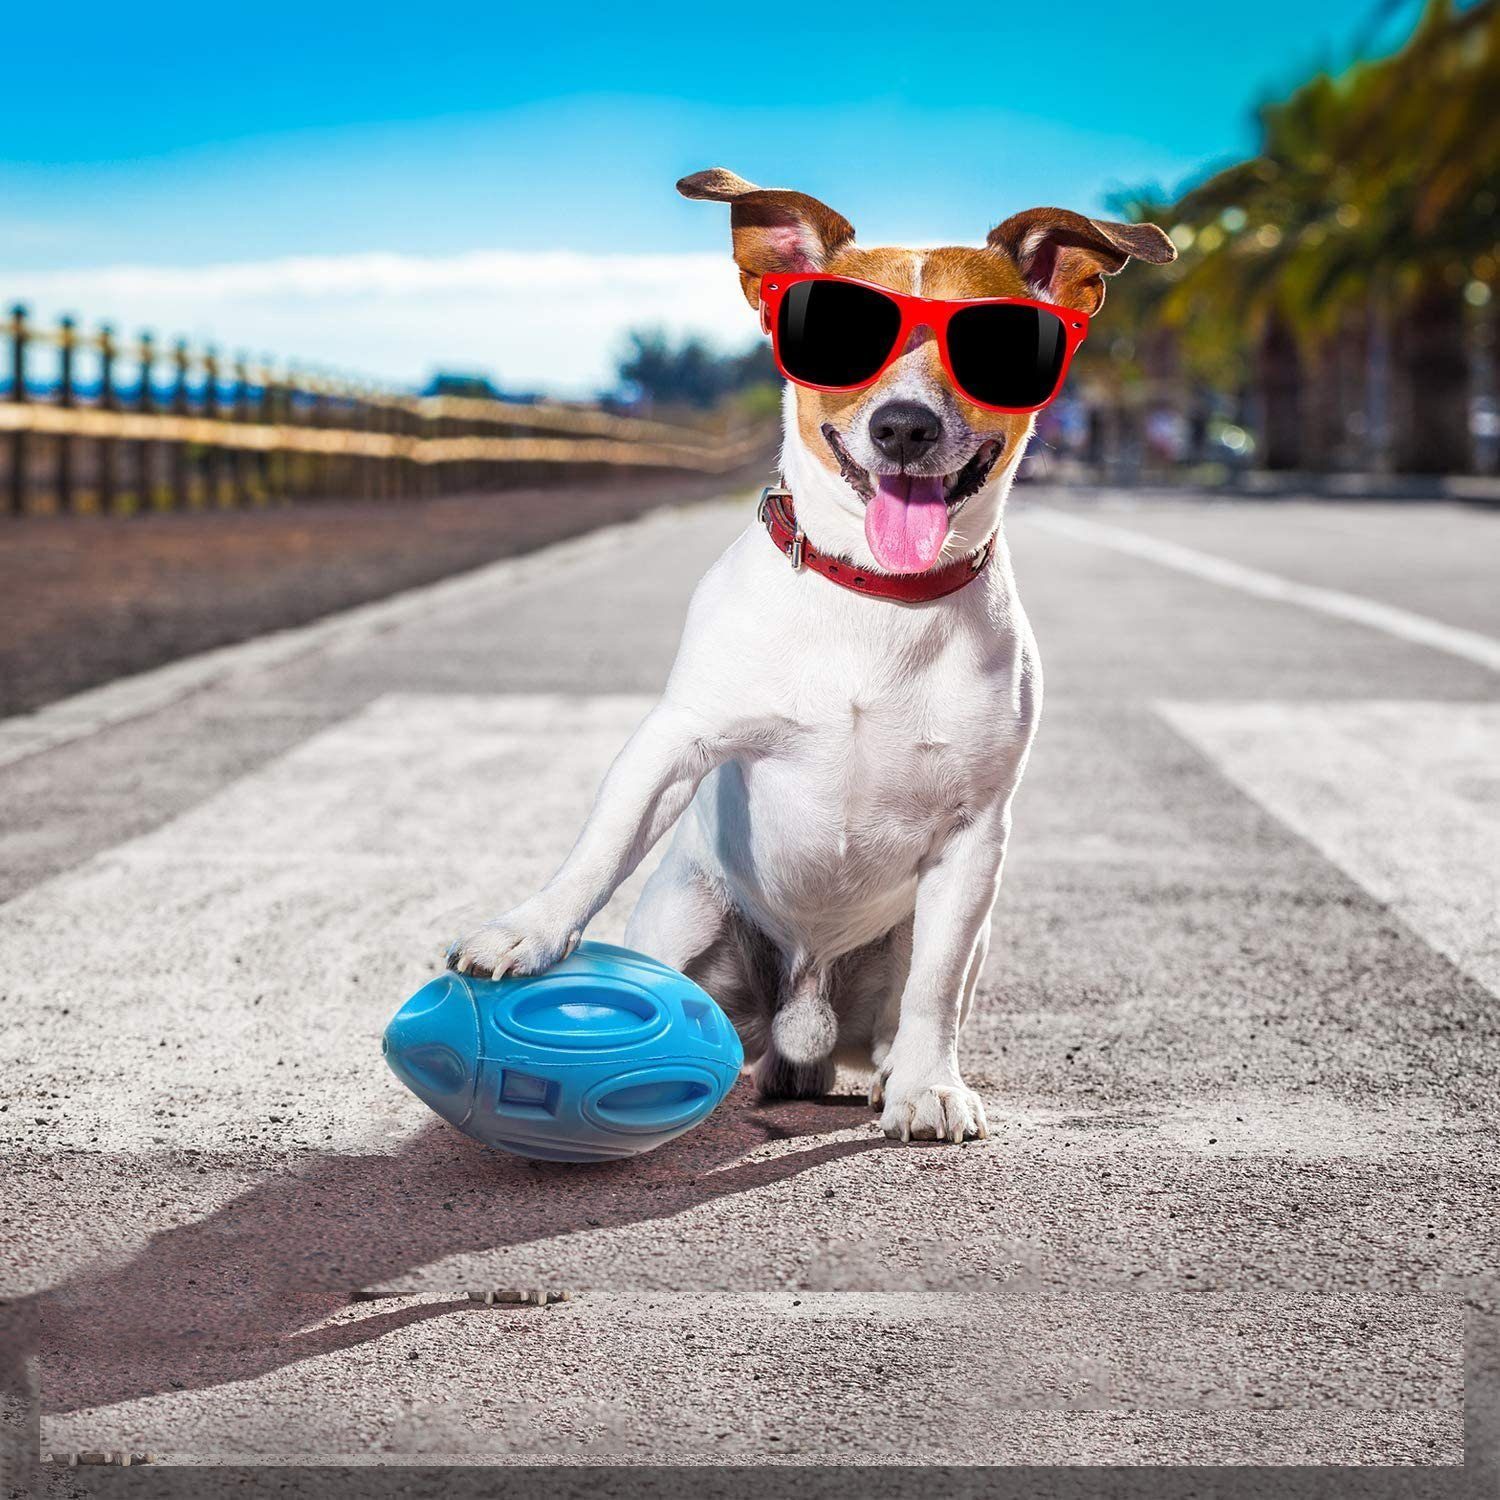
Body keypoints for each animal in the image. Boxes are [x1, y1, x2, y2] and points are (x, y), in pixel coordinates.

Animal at [444, 167, 1170, 1134]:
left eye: (995, 346)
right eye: (841, 337)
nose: (903, 426)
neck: (876, 593)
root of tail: (803, 1025)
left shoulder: (976, 836)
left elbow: (936, 987)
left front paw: (931, 1086)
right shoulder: (675, 741)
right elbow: (599, 847)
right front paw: (527, 930)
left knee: (910, 1002)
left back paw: (891, 1071)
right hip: (692, 915)